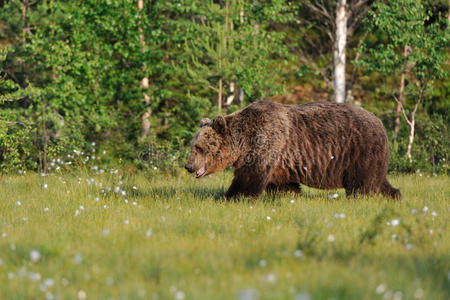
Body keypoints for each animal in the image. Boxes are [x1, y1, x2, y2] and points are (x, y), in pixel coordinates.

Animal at [185, 99, 402, 200]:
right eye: (193, 146)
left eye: (199, 147)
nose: (188, 165)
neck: (243, 141)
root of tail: (380, 123)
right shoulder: (280, 162)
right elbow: (283, 185)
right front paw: (290, 195)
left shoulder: (264, 144)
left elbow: (249, 179)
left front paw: (231, 197)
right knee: (378, 181)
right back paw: (394, 195)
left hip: (359, 150)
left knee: (362, 184)